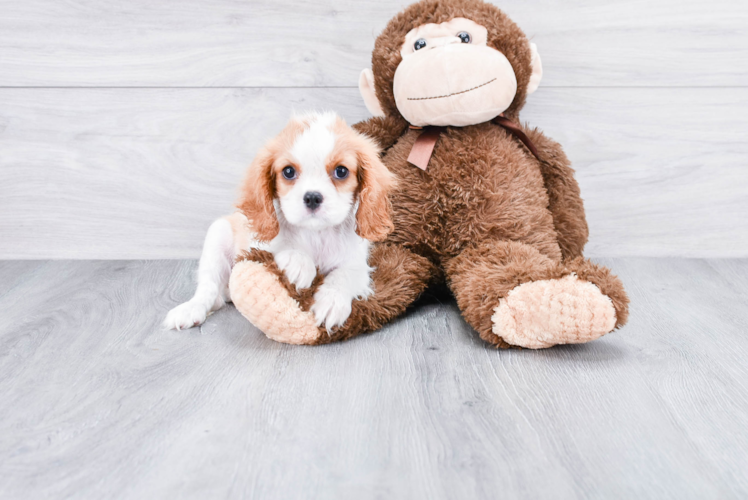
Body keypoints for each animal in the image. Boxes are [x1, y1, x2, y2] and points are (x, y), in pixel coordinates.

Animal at [164, 112, 398, 334]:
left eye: (341, 171)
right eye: (288, 171)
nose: (312, 197)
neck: (316, 234)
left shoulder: (357, 263)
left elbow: (345, 274)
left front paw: (331, 301)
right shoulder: (256, 243)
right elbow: (279, 249)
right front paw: (299, 264)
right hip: (217, 235)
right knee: (209, 288)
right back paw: (190, 309)